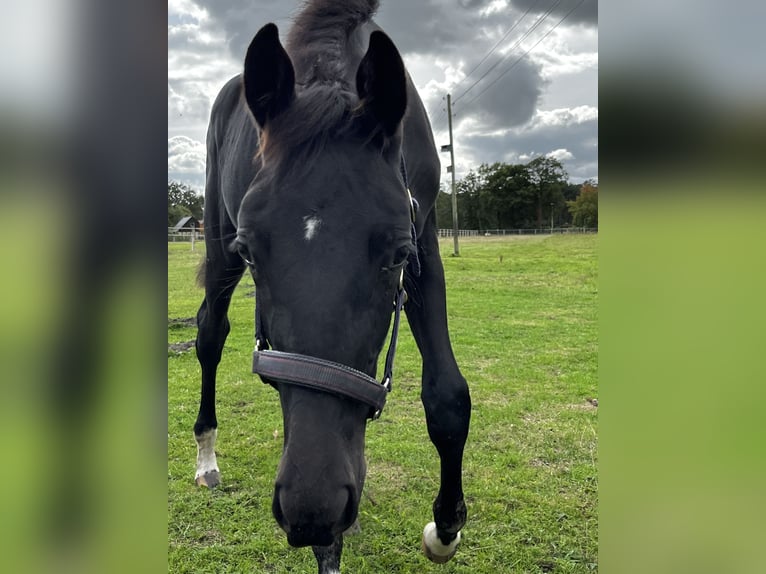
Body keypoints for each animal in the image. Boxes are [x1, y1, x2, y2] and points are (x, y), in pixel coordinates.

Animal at [195, 2, 472, 572]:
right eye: (251, 251)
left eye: (398, 254)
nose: (312, 509)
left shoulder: (425, 242)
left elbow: (448, 396)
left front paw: (445, 531)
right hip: (214, 245)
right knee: (209, 334)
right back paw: (206, 459)